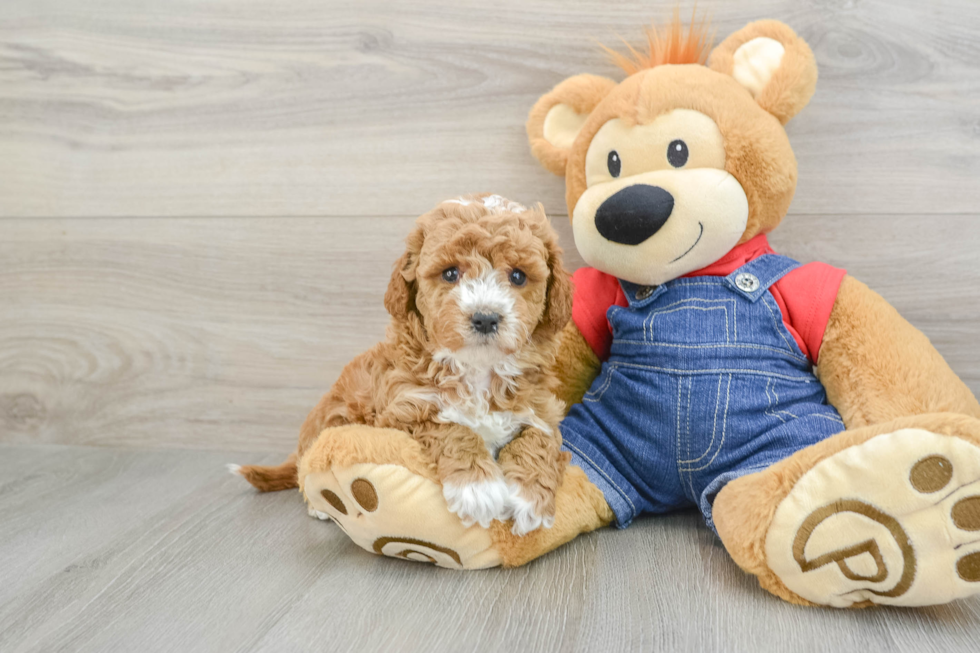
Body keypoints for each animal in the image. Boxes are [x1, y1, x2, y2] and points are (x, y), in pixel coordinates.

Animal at [235, 194, 576, 536]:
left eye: (518, 276)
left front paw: (529, 498)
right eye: (450, 273)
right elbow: (449, 428)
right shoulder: (403, 411)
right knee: (305, 473)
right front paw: (477, 489)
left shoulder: (541, 411)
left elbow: (539, 440)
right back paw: (320, 506)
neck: (477, 369)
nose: (485, 318)